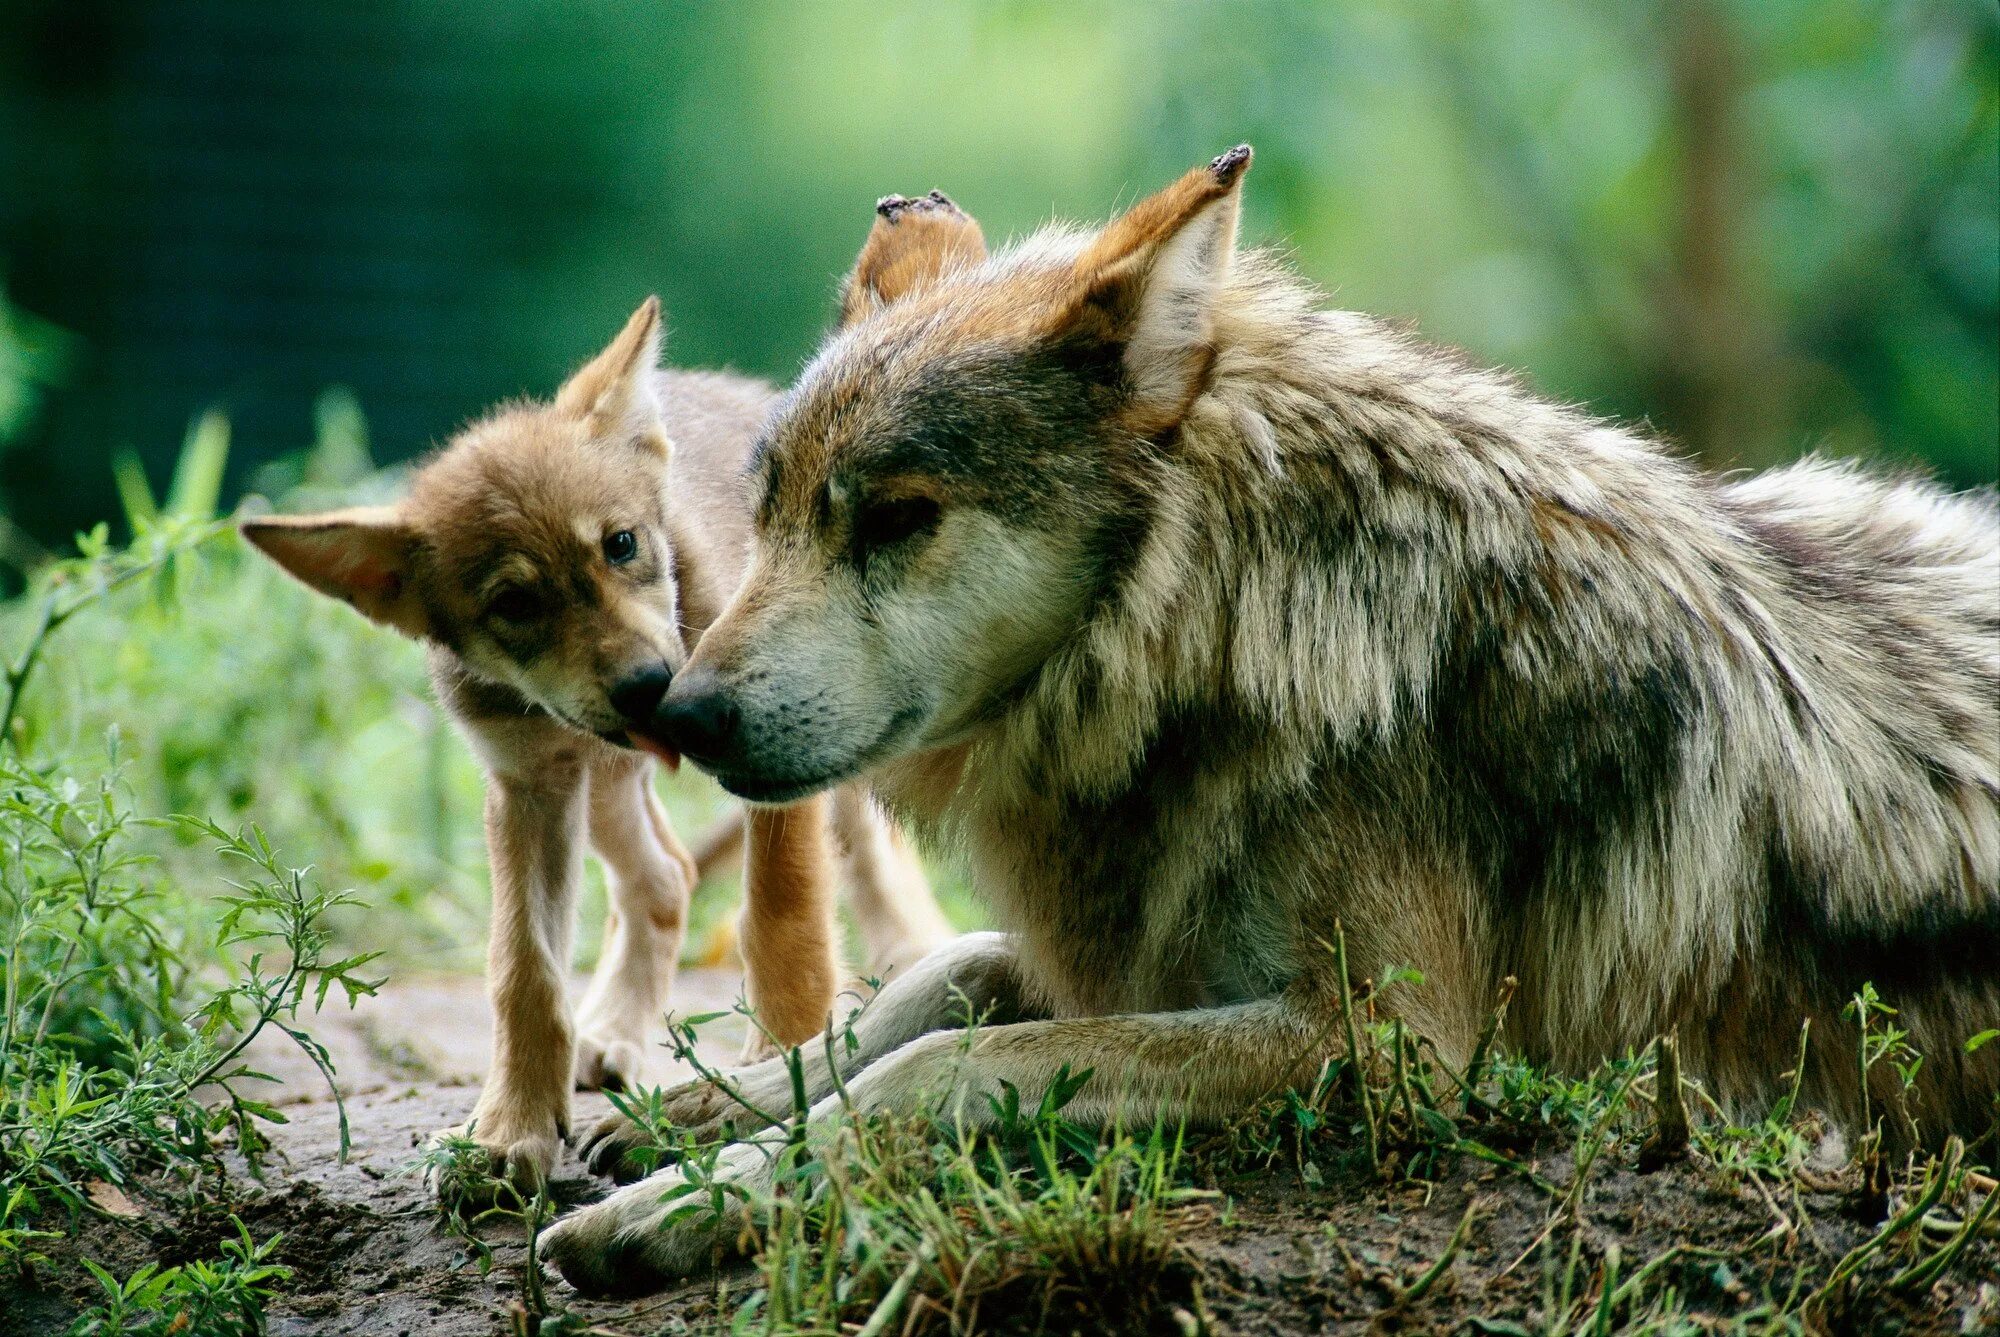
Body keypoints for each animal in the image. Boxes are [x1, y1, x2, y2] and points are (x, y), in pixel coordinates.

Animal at [540, 151, 1992, 1288]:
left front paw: (693, 1198)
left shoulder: (1395, 1048)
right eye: (773, 511)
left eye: (898, 517)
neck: (1239, 627)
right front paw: (681, 1113)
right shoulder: (1141, 944)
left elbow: (954, 1061)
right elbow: (932, 983)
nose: (683, 712)